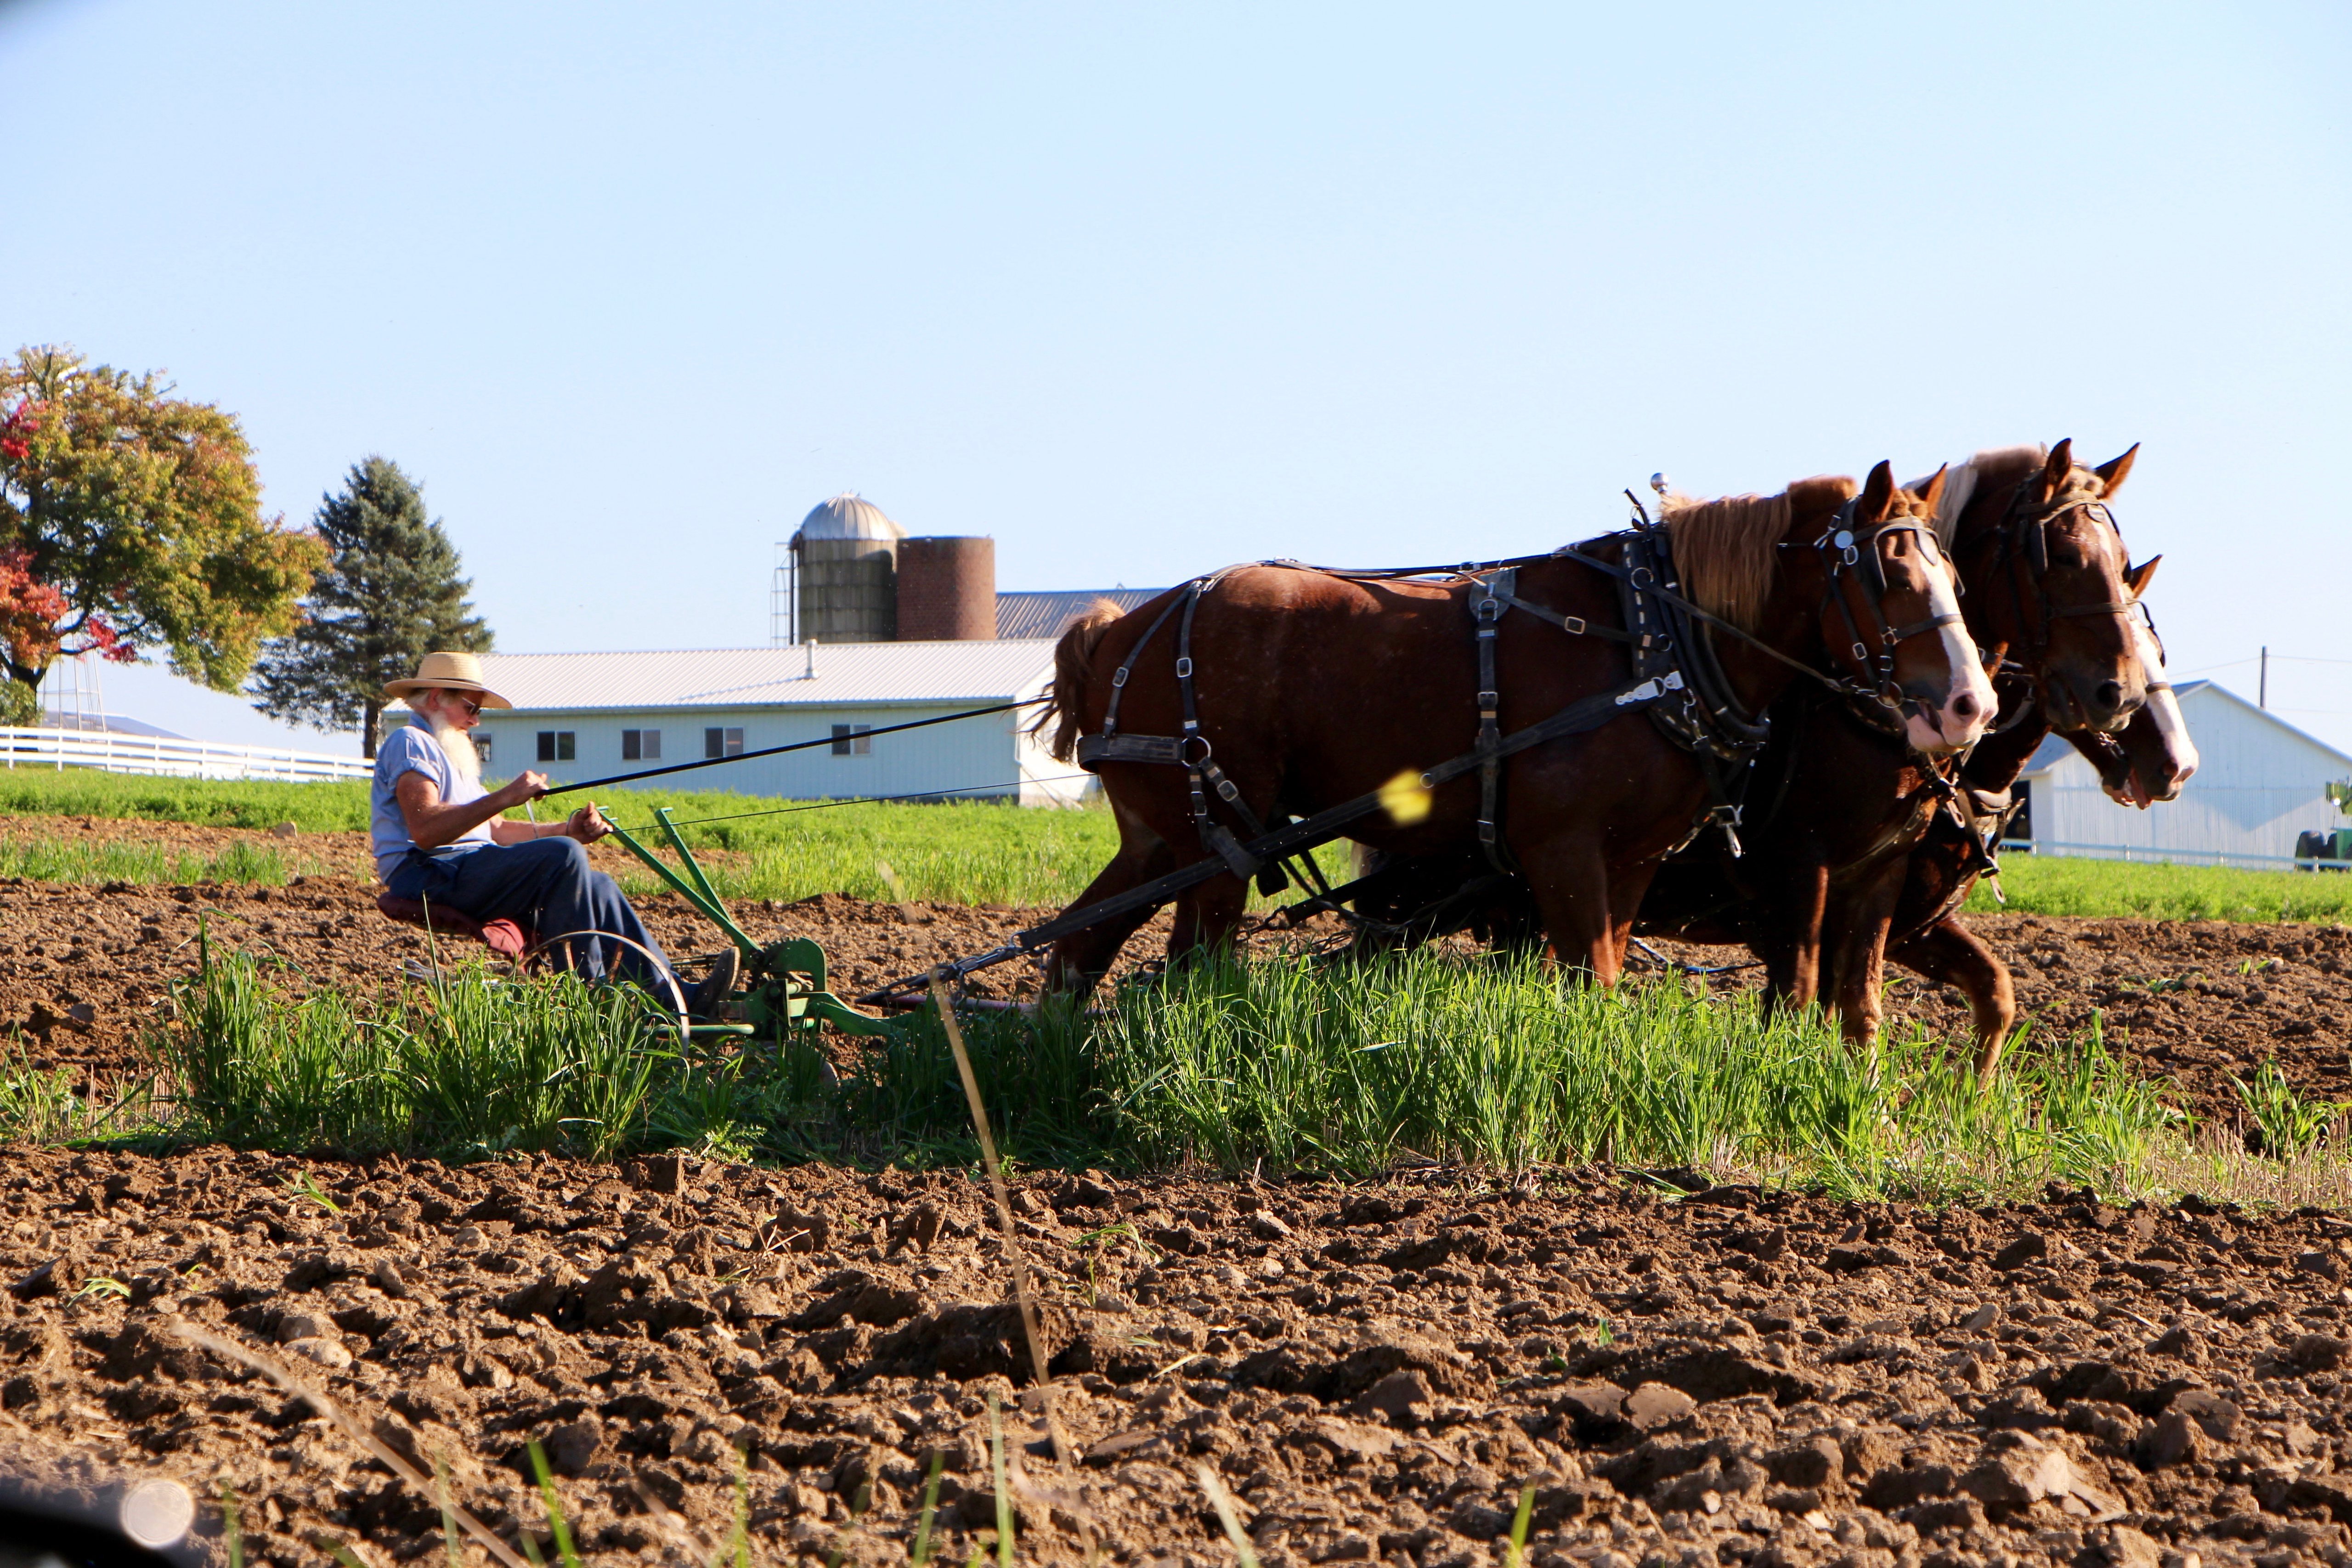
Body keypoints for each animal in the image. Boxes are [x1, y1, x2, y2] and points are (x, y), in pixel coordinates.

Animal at [1044, 463, 1985, 992]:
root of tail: (1120, 631)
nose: (1969, 704)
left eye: (1955, 574)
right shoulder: (1561, 849)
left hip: (1159, 840)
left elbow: (1601, 975)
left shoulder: (1632, 859)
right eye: (1891, 575)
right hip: (1217, 845)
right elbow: (1592, 981)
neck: (1651, 636)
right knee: (1184, 964)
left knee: (1079, 943)